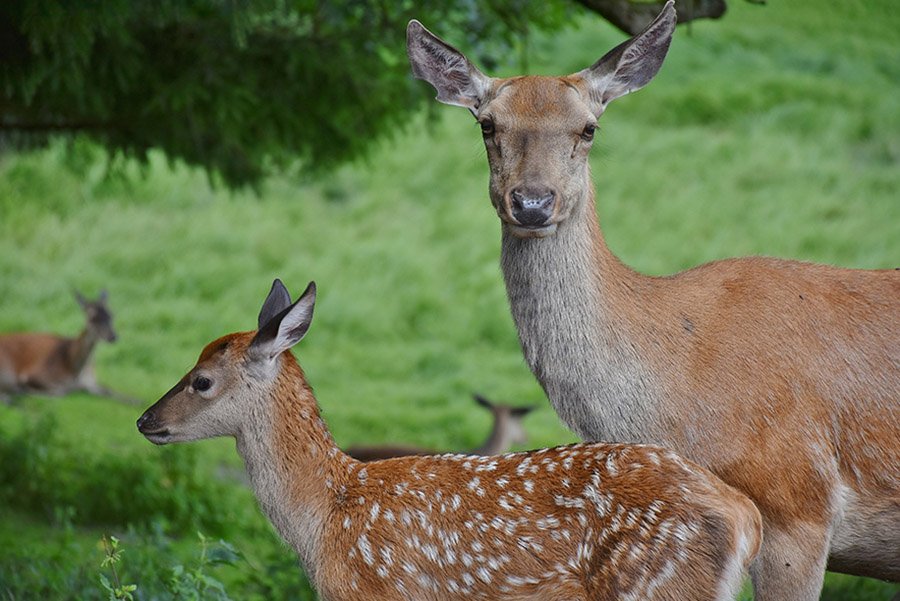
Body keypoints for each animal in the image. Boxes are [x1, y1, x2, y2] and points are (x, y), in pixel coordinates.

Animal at [0, 290, 132, 403]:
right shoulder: (32, 374)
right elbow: (61, 392)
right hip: (8, 373)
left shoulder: (91, 382)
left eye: (111, 315)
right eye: (92, 318)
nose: (113, 336)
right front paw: (26, 391)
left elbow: (114, 392)